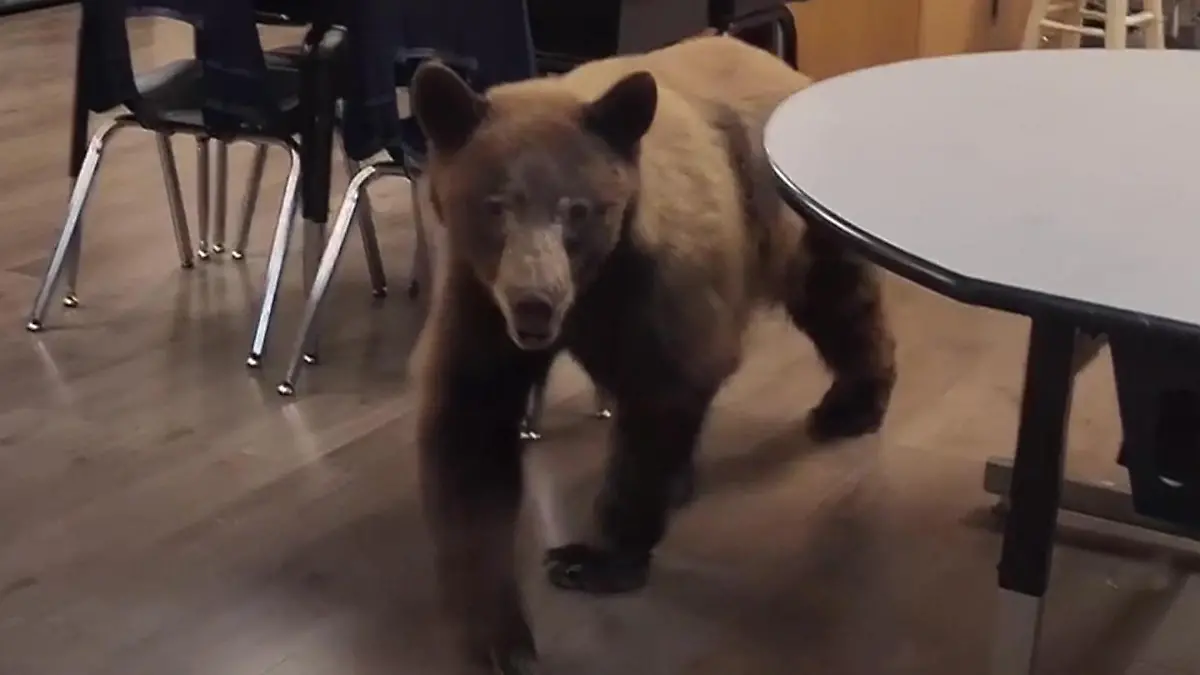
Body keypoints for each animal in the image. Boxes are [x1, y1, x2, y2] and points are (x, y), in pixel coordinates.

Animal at [408, 34, 896, 674]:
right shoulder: (478, 297)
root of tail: (778, 63)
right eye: (494, 205)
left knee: (840, 302)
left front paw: (591, 558)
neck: (594, 283)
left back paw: (851, 406)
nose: (535, 303)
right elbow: (468, 430)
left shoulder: (658, 283)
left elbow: (661, 397)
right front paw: (497, 635)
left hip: (791, 220)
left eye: (577, 209)